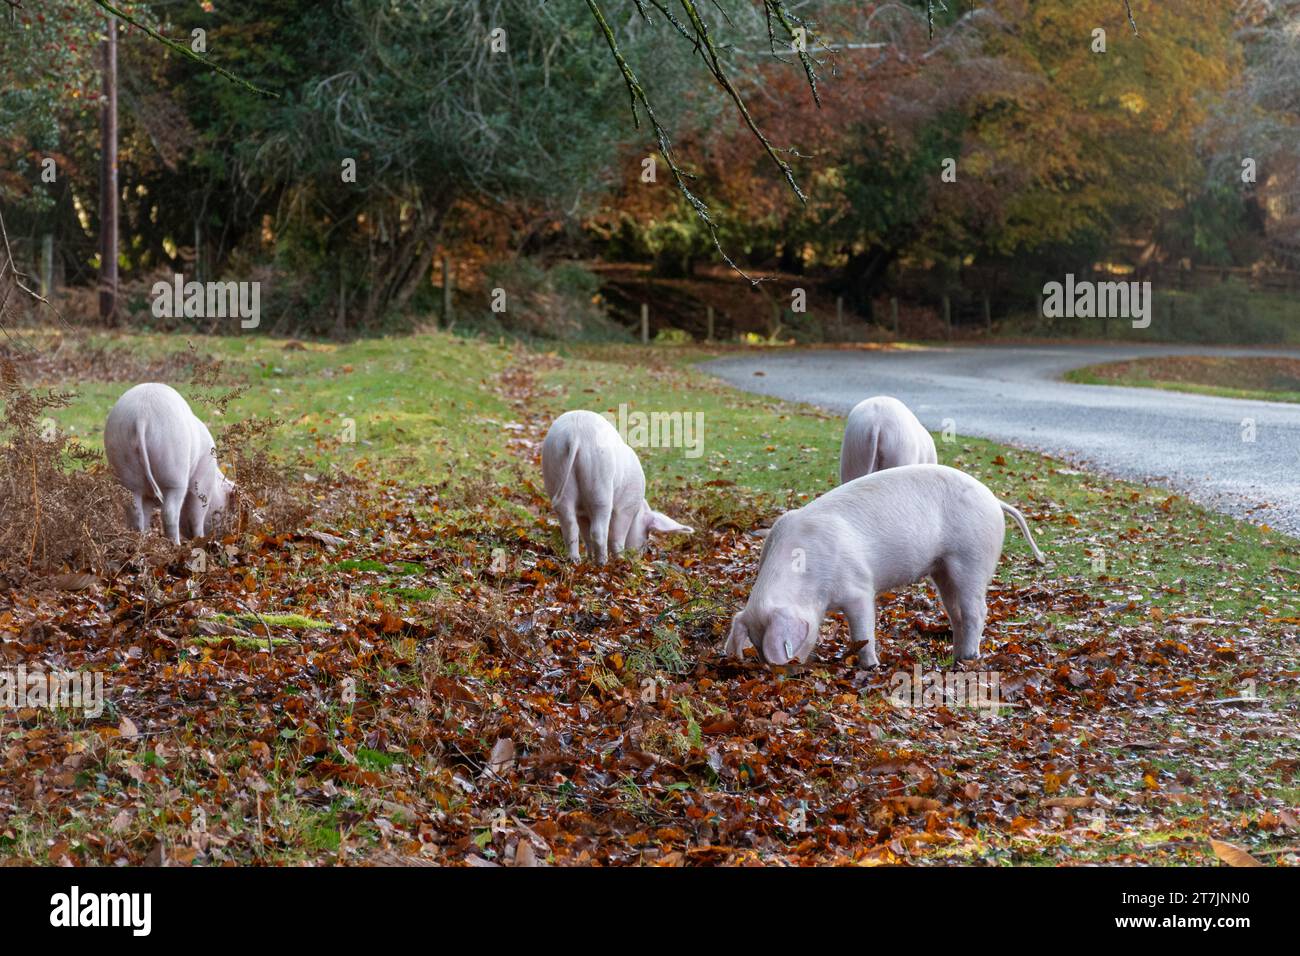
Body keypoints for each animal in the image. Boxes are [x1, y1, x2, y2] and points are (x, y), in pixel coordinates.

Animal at [104, 383, 235, 544]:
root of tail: (141, 416)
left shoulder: (148, 496)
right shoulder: (203, 482)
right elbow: (197, 515)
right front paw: (200, 539)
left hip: (123, 461)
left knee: (134, 510)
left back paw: (141, 538)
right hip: (173, 466)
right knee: (170, 512)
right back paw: (176, 544)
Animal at [541, 409, 693, 564]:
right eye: (646, 536)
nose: (638, 558)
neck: (637, 511)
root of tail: (575, 434)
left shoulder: (582, 513)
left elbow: (586, 535)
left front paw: (589, 558)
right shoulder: (625, 507)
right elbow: (617, 537)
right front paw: (621, 560)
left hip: (555, 468)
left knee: (569, 525)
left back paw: (576, 562)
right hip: (600, 482)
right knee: (599, 531)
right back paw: (603, 563)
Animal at [724, 463, 1046, 667]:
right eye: (755, 646)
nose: (785, 672)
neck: (807, 576)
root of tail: (994, 499)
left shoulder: (859, 587)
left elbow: (863, 630)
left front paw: (871, 666)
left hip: (972, 559)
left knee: (977, 611)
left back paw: (968, 660)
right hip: (942, 570)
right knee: (956, 613)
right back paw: (956, 657)